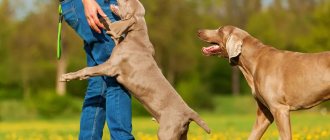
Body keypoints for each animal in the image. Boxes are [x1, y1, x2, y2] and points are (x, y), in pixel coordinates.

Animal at [60, 0, 210, 139]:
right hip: (181, 133)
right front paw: (102, 18)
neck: (137, 36)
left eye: (127, 1)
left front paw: (66, 76)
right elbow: (112, 29)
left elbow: (87, 69)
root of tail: (189, 112)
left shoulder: (110, 66)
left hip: (167, 132)